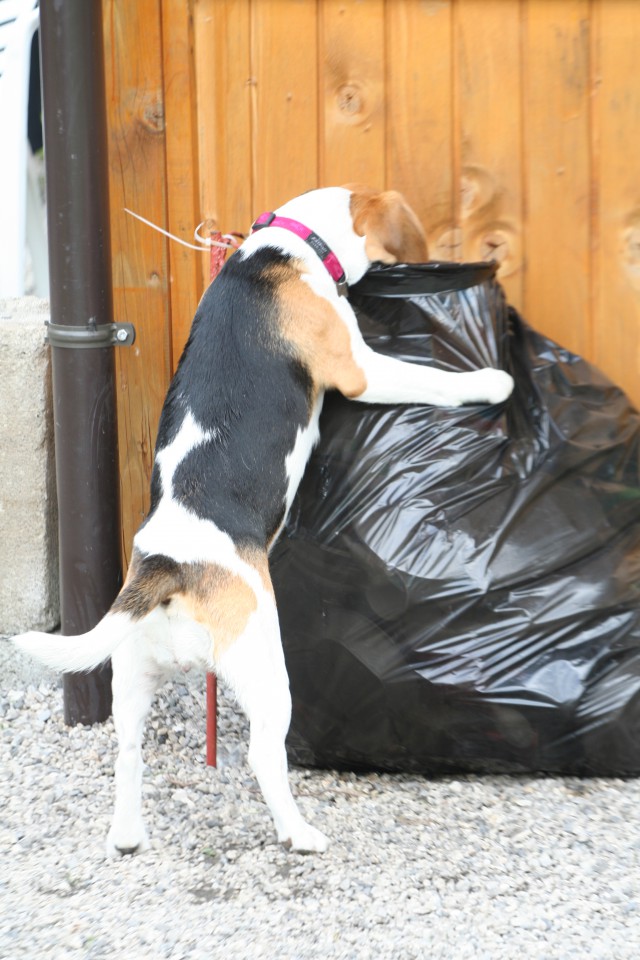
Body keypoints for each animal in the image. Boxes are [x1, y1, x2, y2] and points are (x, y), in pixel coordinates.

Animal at [16, 184, 516, 852]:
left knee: (127, 753)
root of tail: (170, 566)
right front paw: (492, 382)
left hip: (131, 674)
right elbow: (433, 381)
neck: (288, 243)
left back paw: (126, 834)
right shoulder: (361, 370)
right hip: (264, 667)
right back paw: (299, 834)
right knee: (261, 756)